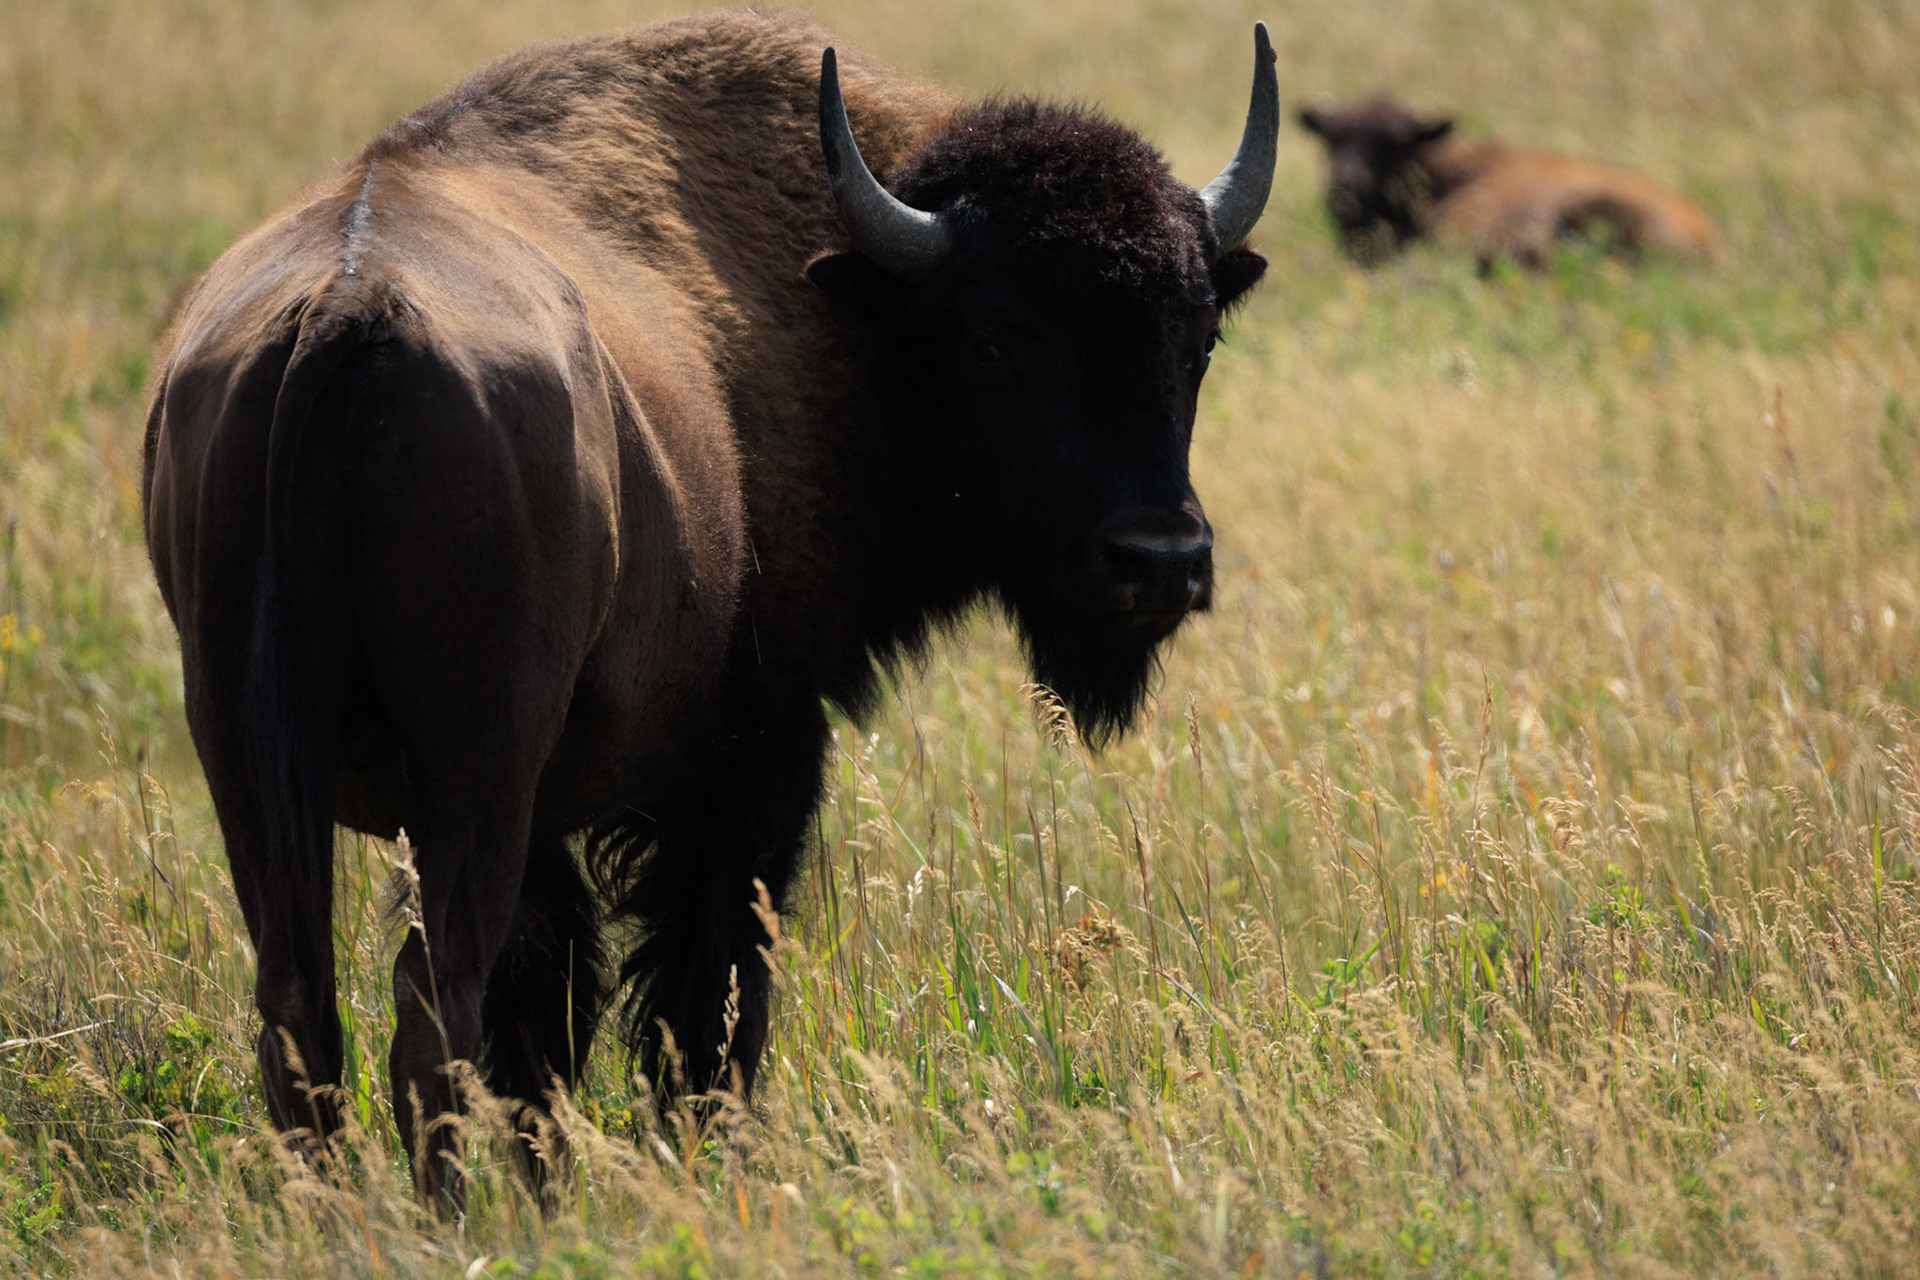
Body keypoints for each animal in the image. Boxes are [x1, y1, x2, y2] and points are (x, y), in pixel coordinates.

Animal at [142, 11, 1277, 1200]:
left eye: (1197, 337)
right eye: (995, 338)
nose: (1162, 562)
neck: (852, 307)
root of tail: (343, 312)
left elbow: (558, 1007)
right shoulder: (752, 760)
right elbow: (702, 997)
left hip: (252, 762)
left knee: (303, 1011)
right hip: (472, 773)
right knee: (433, 1007)